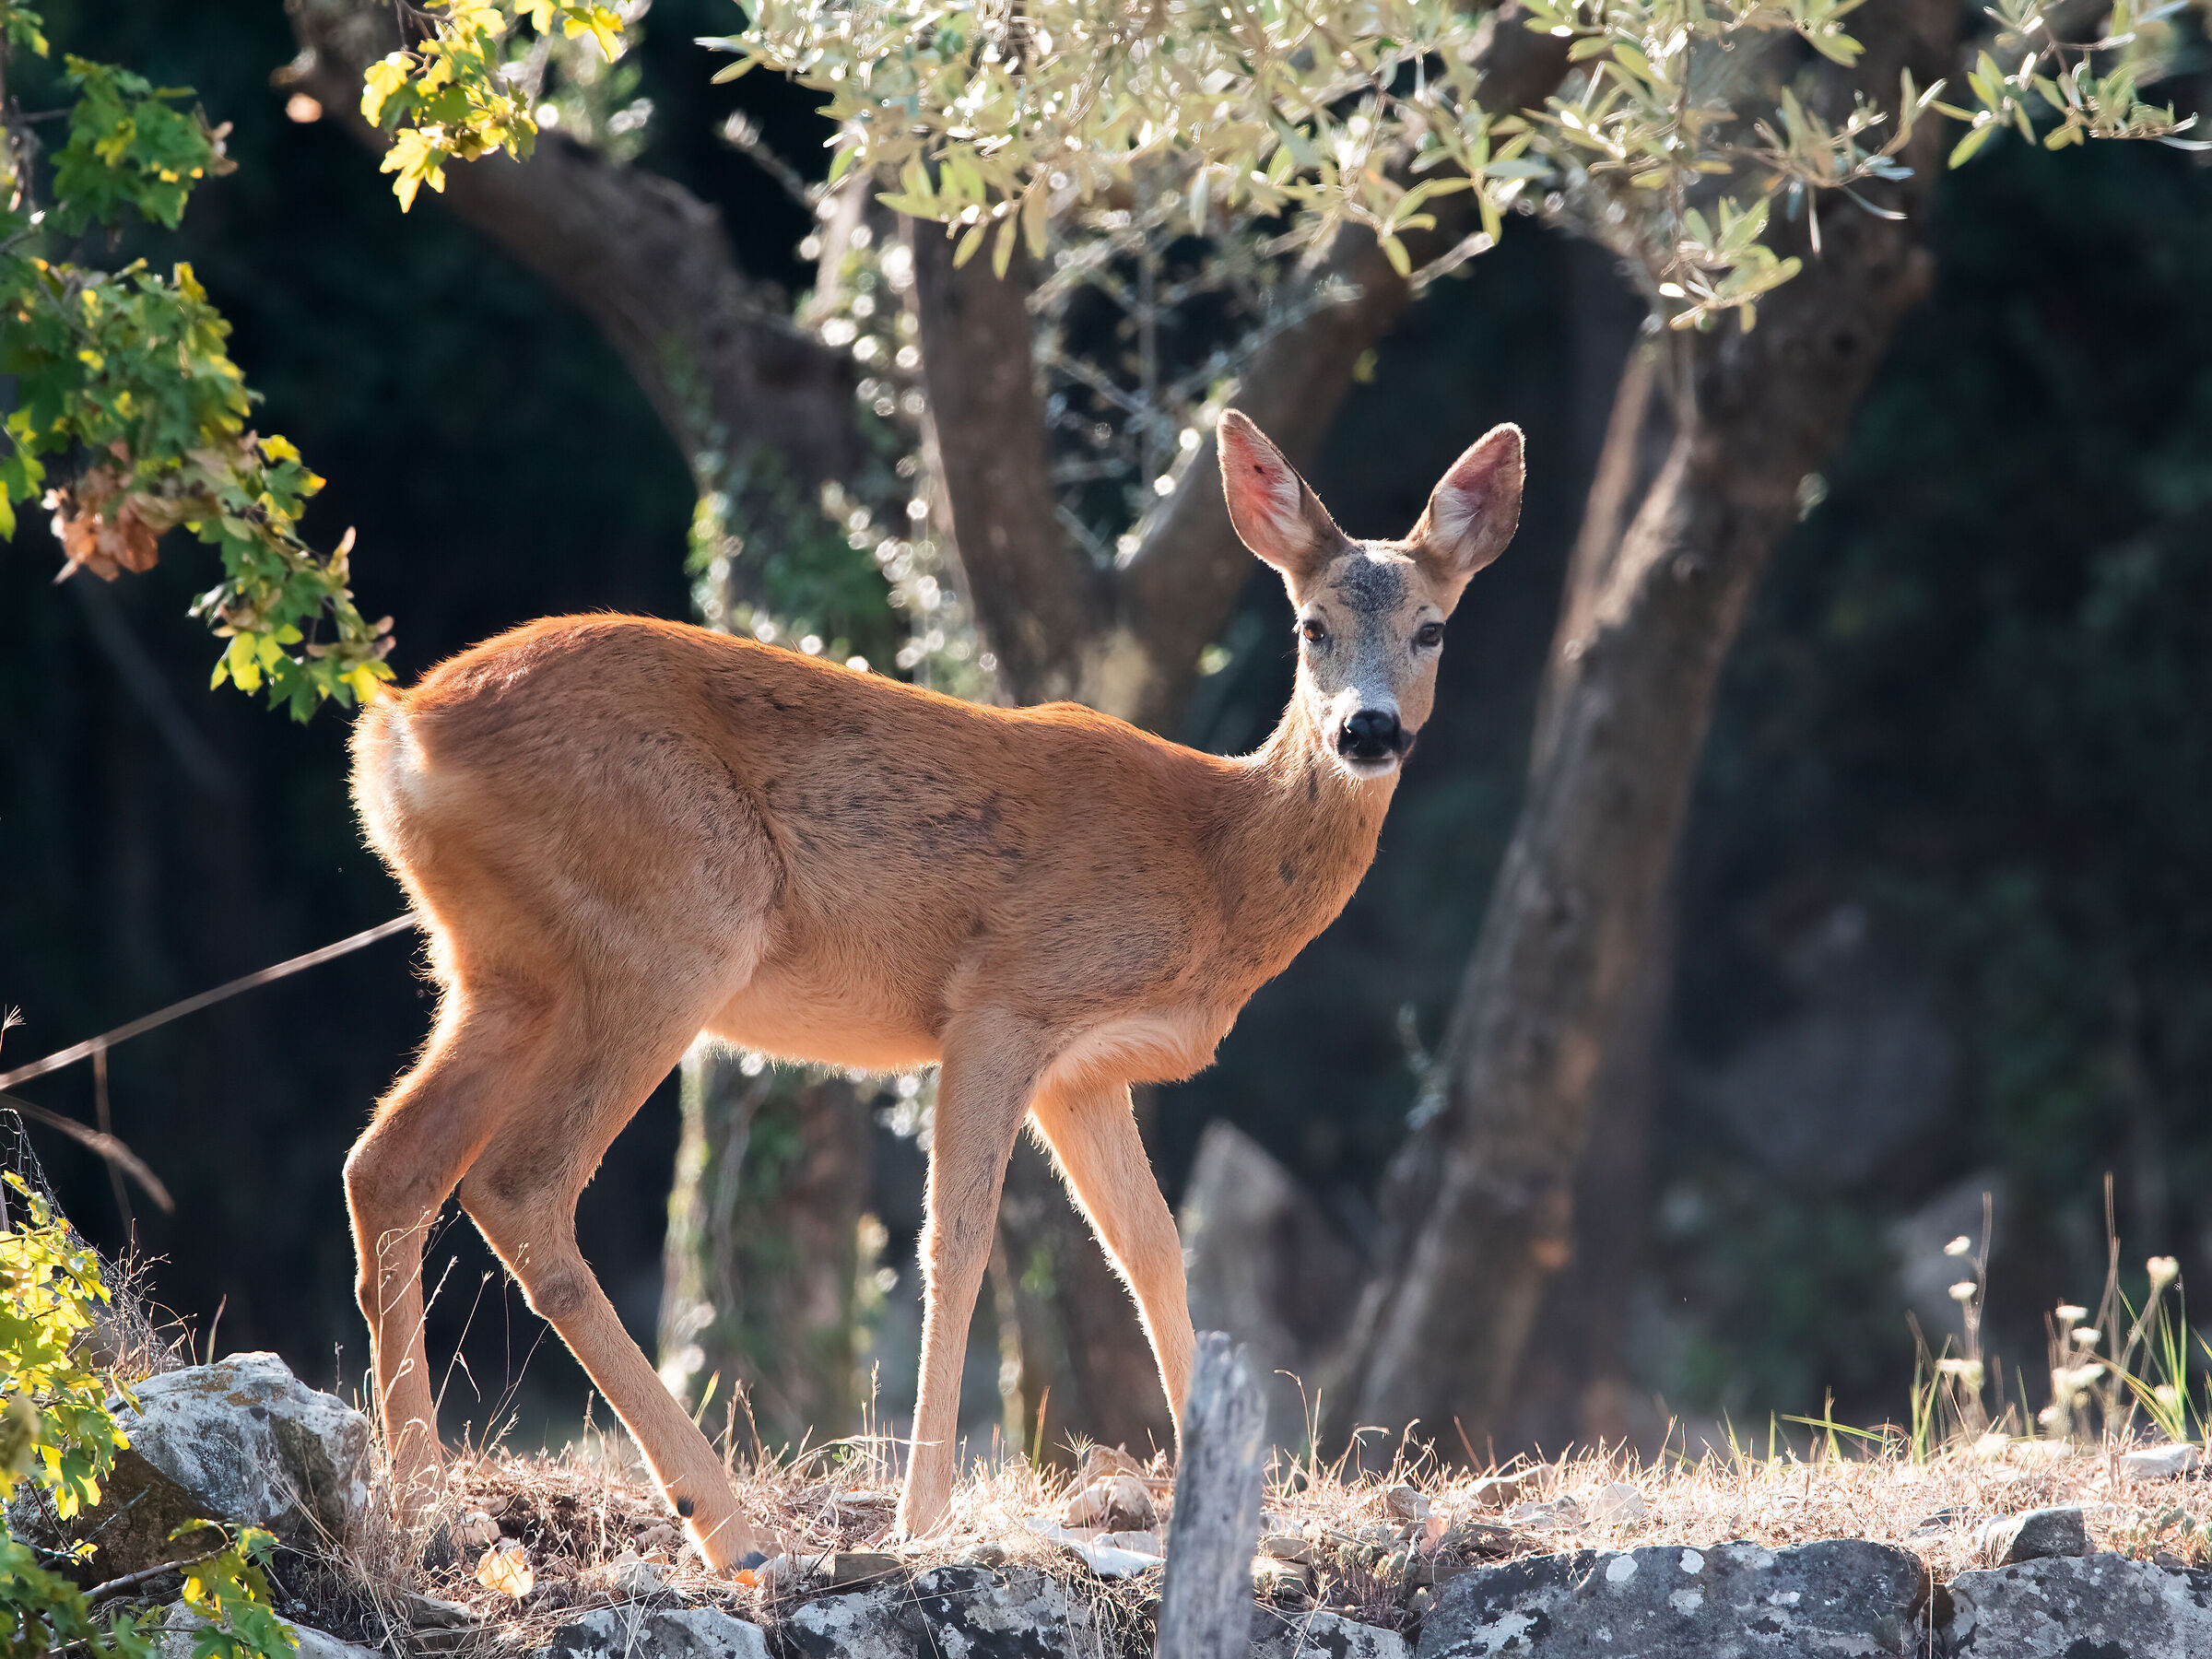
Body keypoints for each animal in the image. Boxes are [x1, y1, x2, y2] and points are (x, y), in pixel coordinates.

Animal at [343, 409, 1523, 1571]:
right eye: (1310, 627)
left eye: (1432, 629)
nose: (1367, 730)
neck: (1216, 863)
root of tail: (397, 730)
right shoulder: (1006, 997)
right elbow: (955, 1243)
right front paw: (924, 1518)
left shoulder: (1084, 1070)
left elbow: (1153, 1251)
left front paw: (1245, 1518)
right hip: (672, 927)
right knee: (518, 1184)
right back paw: (727, 1527)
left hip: (502, 968)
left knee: (390, 1167)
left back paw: (428, 1509)